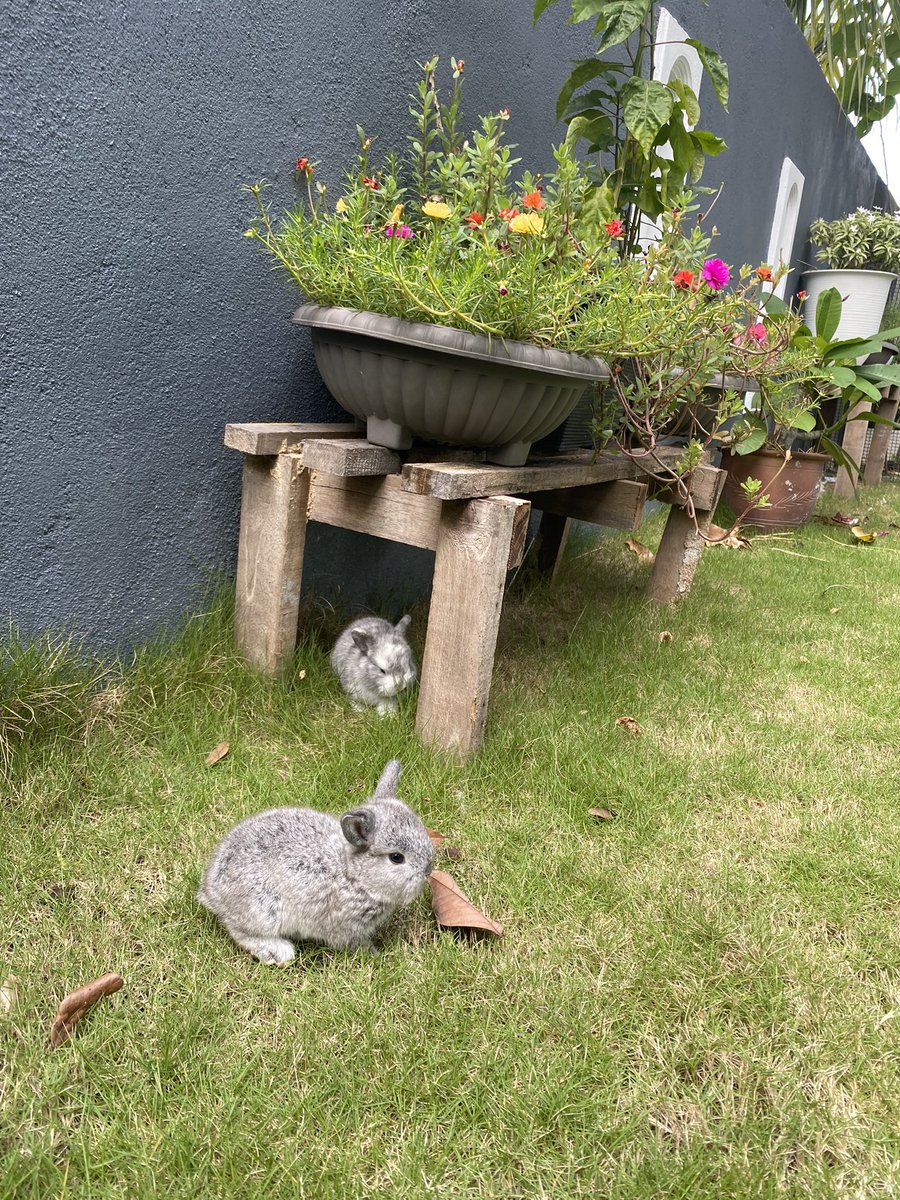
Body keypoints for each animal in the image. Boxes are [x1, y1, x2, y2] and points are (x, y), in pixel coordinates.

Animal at [196, 759, 433, 963]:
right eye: (396, 858)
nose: (428, 869)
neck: (352, 875)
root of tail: (211, 891)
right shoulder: (345, 928)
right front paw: (375, 954)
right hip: (264, 909)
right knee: (239, 931)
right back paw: (278, 952)